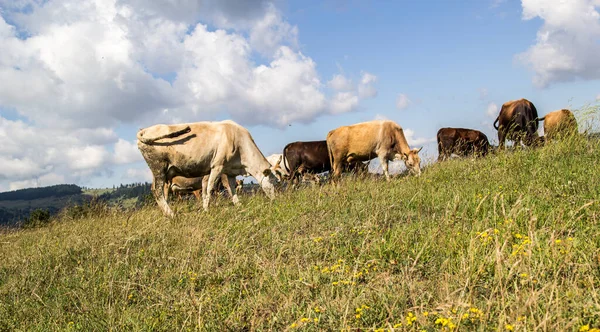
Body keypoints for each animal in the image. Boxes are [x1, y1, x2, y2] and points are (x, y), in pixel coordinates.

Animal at [137, 120, 278, 217]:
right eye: (273, 181)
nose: (276, 199)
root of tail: (145, 130)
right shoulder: (217, 166)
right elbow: (209, 189)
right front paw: (206, 209)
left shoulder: (230, 172)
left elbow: (232, 190)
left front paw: (239, 206)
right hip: (158, 167)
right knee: (157, 191)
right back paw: (171, 215)